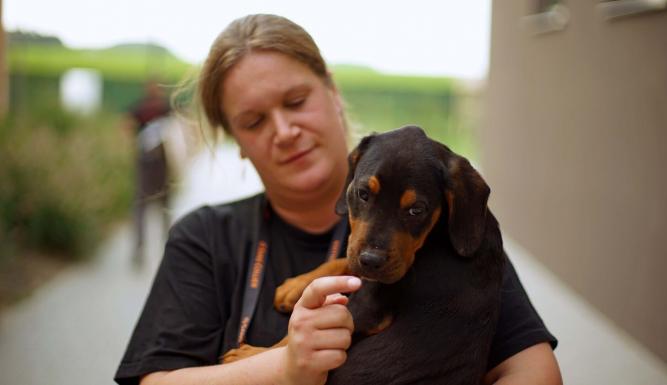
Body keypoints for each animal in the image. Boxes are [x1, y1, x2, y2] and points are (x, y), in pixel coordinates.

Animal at [227, 126, 504, 384]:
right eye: (363, 194)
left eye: (417, 210)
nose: (372, 261)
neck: (437, 235)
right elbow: (344, 260)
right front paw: (294, 286)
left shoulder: (367, 305)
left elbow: (287, 341)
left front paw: (247, 355)